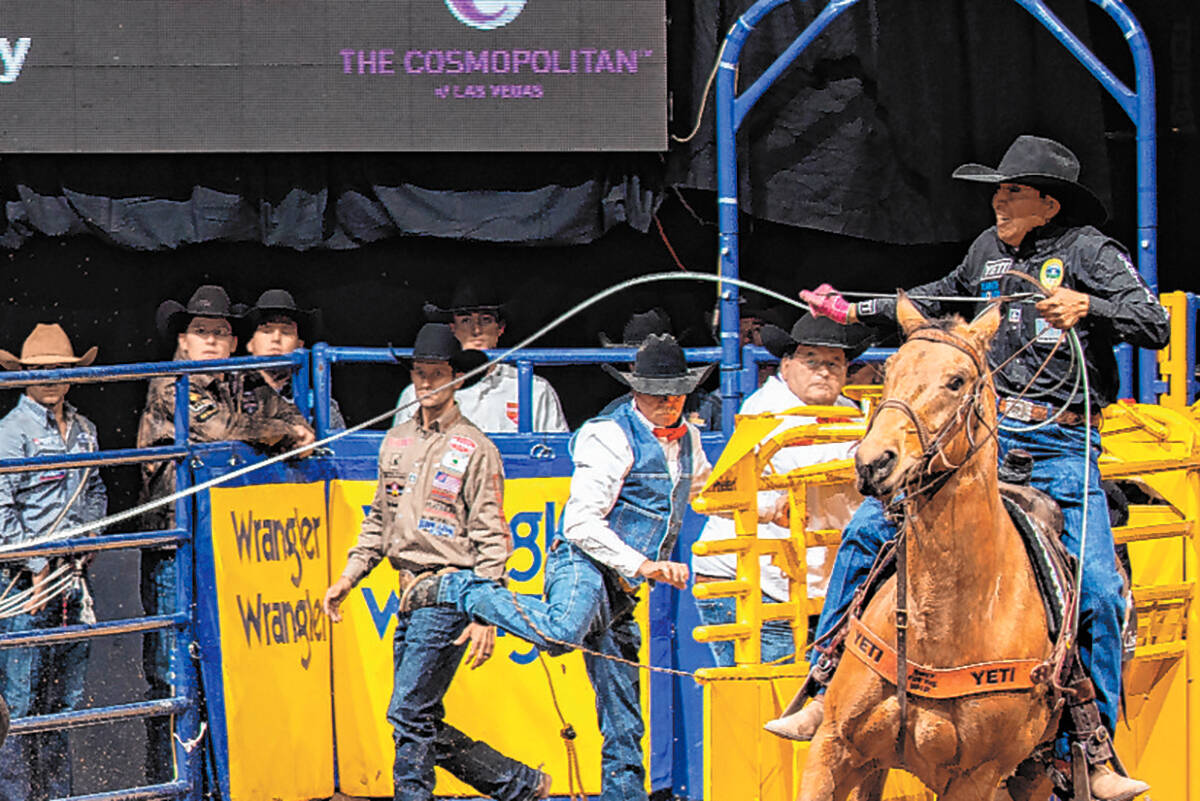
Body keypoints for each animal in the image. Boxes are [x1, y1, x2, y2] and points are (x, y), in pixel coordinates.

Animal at [801, 296, 1056, 801]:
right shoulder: (834, 745)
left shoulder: (977, 777)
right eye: (890, 368)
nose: (874, 462)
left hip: (1033, 773)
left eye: (956, 381)